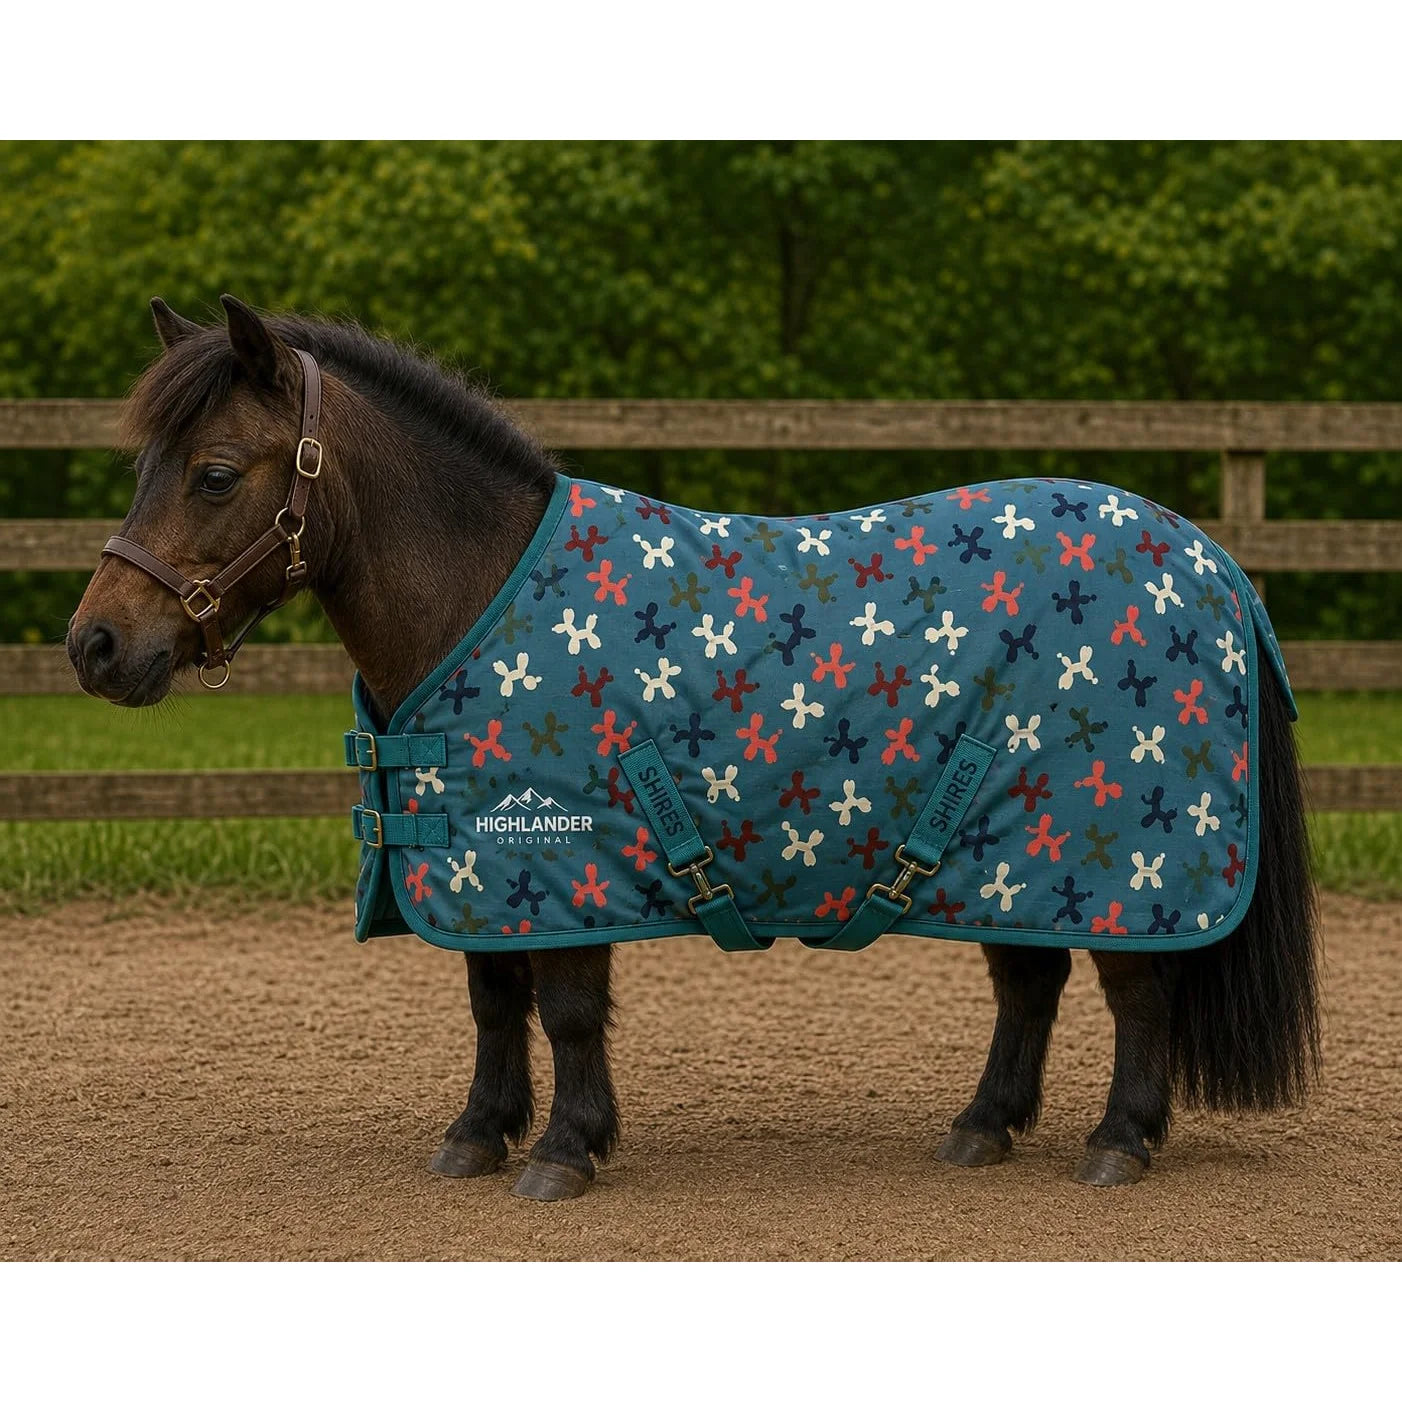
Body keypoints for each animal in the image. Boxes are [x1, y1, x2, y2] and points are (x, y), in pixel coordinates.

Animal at [67, 296, 1320, 1200]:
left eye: (215, 473)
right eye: (142, 469)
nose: (95, 644)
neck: (480, 591)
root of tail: (1213, 562)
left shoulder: (561, 857)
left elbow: (566, 1010)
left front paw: (562, 1151)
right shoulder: (487, 868)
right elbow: (491, 1001)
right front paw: (476, 1134)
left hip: (1103, 863)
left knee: (1136, 994)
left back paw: (1118, 1142)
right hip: (1009, 855)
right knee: (1030, 981)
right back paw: (981, 1128)